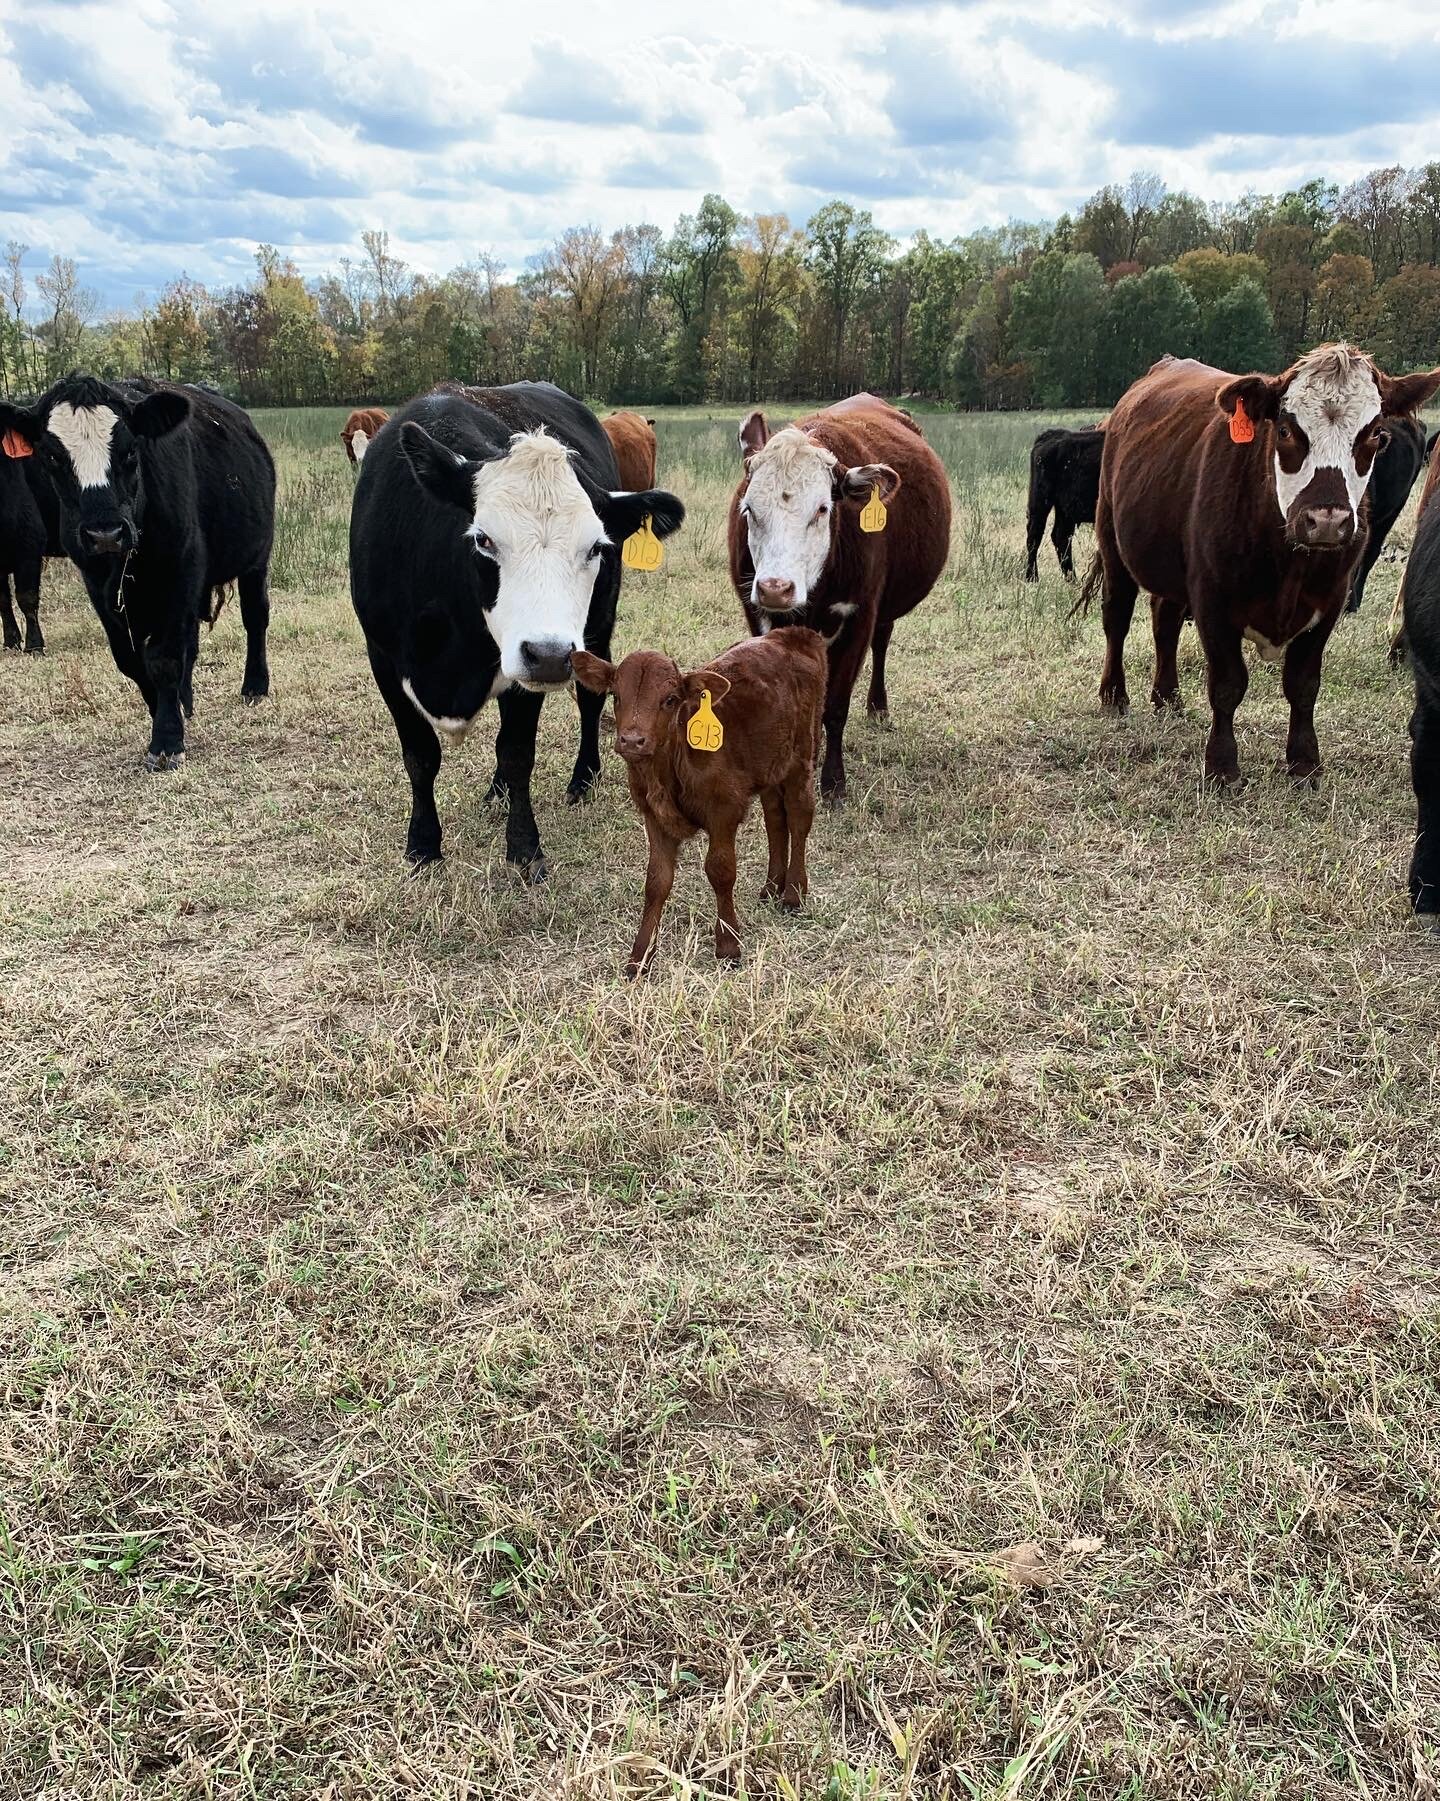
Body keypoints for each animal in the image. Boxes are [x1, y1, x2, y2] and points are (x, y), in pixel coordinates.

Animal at [350, 380, 685, 877]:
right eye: (483, 539)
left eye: (595, 547)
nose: (550, 656)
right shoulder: (385, 660)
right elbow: (420, 755)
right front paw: (423, 844)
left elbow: (516, 752)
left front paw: (525, 849)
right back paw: (496, 793)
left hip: (596, 627)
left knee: (590, 700)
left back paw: (583, 778)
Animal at [572, 627, 826, 976]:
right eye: (616, 696)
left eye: (670, 700)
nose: (632, 740)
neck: (666, 774)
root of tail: (791, 634)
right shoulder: (654, 817)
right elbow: (657, 881)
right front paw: (640, 957)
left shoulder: (724, 810)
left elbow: (720, 871)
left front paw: (729, 946)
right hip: (769, 766)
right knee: (775, 819)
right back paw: (772, 886)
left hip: (802, 756)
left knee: (800, 817)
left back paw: (793, 894)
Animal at [727, 394, 952, 802]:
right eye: (749, 509)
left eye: (822, 509)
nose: (775, 588)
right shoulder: (759, 617)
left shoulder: (859, 617)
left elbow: (835, 705)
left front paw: (833, 780)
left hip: (883, 612)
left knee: (882, 643)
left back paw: (878, 706)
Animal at [1025, 426, 1103, 581]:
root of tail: (1050, 435)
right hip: (1041, 502)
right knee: (1034, 536)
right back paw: (1032, 578)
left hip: (1065, 510)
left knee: (1061, 536)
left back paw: (1071, 579)